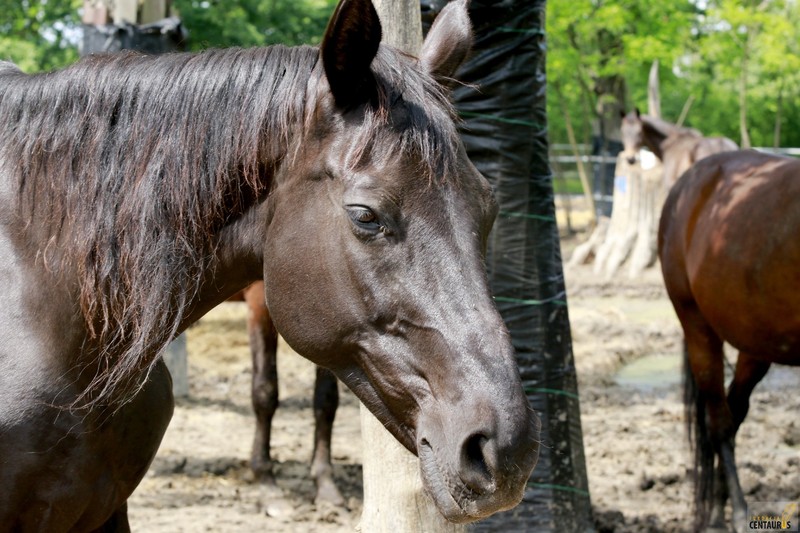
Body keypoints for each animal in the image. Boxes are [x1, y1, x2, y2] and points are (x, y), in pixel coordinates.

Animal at [0, 0, 544, 528]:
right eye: (365, 215)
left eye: (489, 207)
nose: (506, 450)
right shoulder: (263, 303)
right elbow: (266, 390)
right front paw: (267, 483)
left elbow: (324, 402)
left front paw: (324, 485)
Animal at [660, 150, 796, 532]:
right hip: (698, 328)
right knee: (719, 423)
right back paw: (732, 511)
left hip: (757, 344)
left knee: (734, 413)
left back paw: (719, 504)